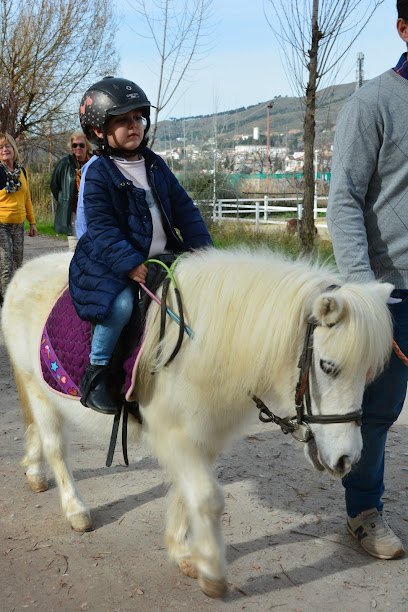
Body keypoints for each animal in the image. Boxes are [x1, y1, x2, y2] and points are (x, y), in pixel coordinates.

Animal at [1, 247, 394, 596]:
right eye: (328, 366)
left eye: (369, 373)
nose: (347, 459)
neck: (203, 347)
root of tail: (24, 273)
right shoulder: (174, 437)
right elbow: (207, 498)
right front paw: (212, 572)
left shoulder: (201, 439)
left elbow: (184, 494)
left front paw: (182, 553)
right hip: (38, 390)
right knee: (55, 447)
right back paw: (75, 509)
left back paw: (34, 472)